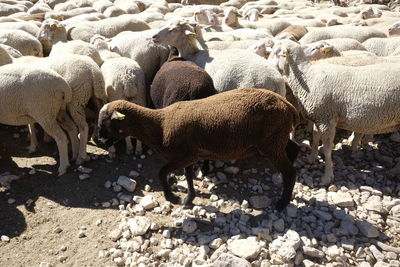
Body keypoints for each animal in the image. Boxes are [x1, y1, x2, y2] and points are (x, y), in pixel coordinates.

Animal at [96, 88, 300, 211]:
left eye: (105, 121)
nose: (100, 141)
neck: (159, 125)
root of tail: (289, 106)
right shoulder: (190, 155)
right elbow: (188, 176)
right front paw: (189, 199)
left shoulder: (185, 155)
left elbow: (162, 172)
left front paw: (173, 198)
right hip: (276, 138)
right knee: (294, 149)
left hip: (271, 142)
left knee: (290, 171)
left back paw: (282, 203)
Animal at [268, 40, 400, 186]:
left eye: (277, 53)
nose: (266, 64)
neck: (308, 78)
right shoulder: (319, 116)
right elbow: (315, 137)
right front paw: (312, 157)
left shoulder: (327, 119)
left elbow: (326, 149)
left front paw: (327, 177)